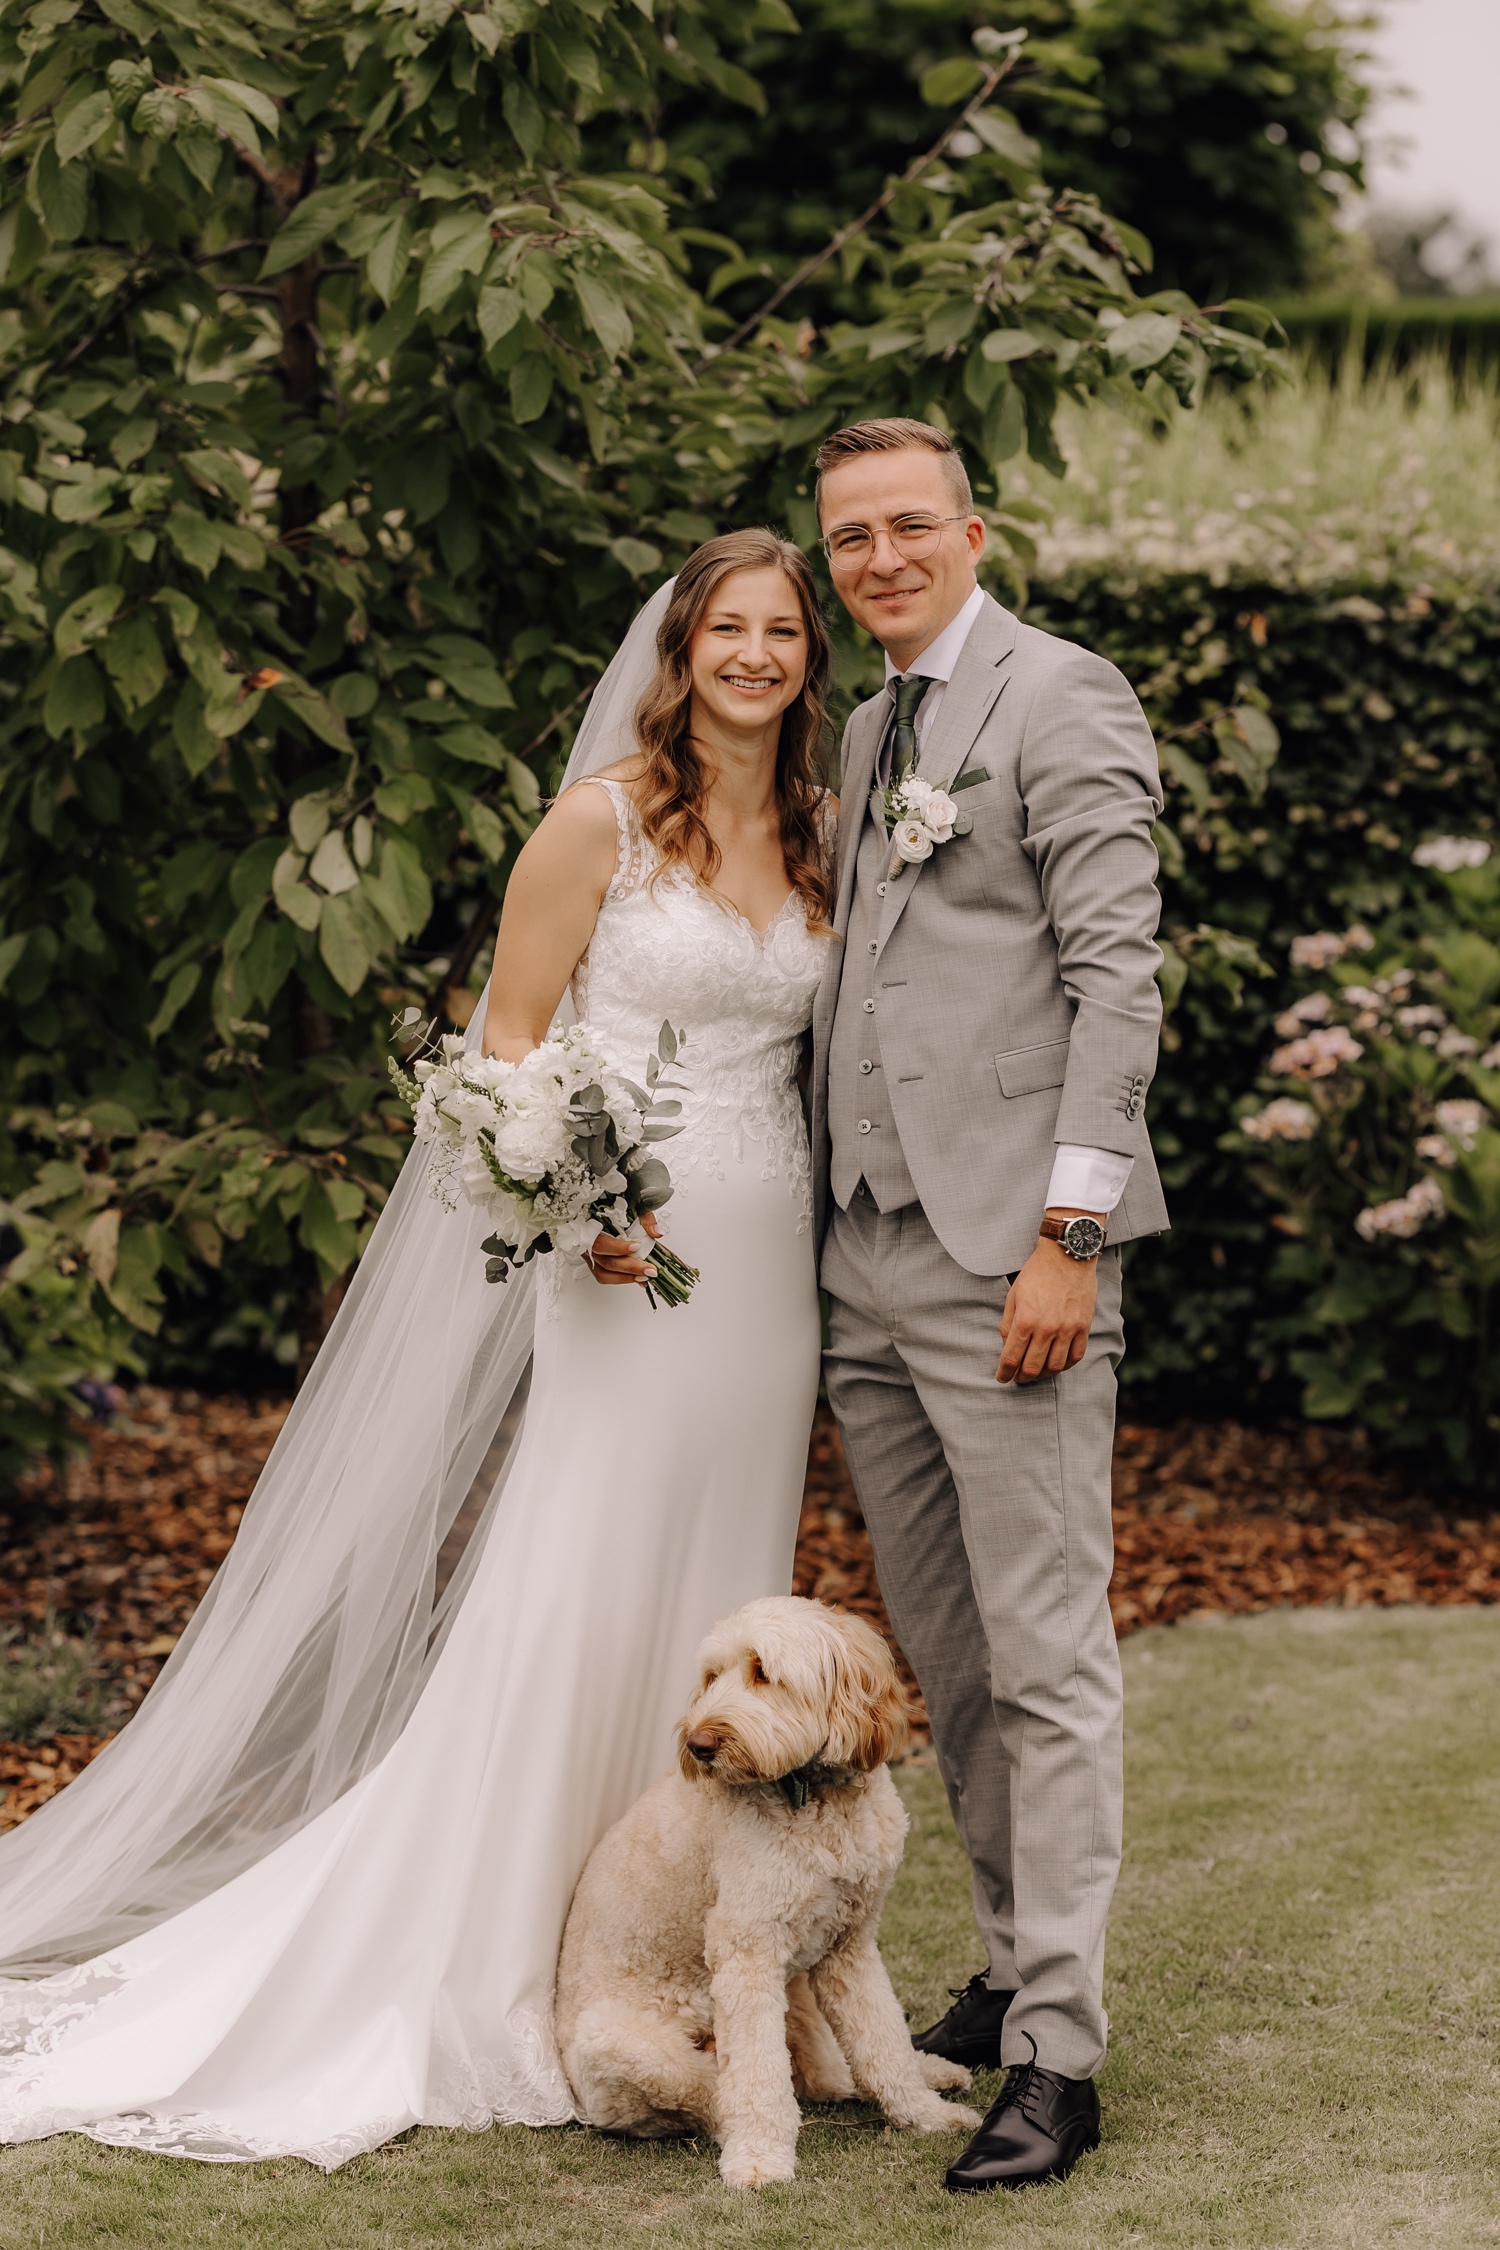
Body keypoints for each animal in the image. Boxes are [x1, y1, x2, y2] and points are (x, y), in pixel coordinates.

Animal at [557, 1593, 980, 2187]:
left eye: (762, 1671)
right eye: (711, 1676)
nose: (698, 1744)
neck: (815, 1797)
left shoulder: (849, 1946)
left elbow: (883, 2042)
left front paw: (925, 2115)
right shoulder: (746, 1951)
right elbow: (757, 2076)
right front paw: (759, 2158)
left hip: (796, 1989)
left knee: (826, 2075)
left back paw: (933, 2073)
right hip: (619, 2044)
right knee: (720, 2092)